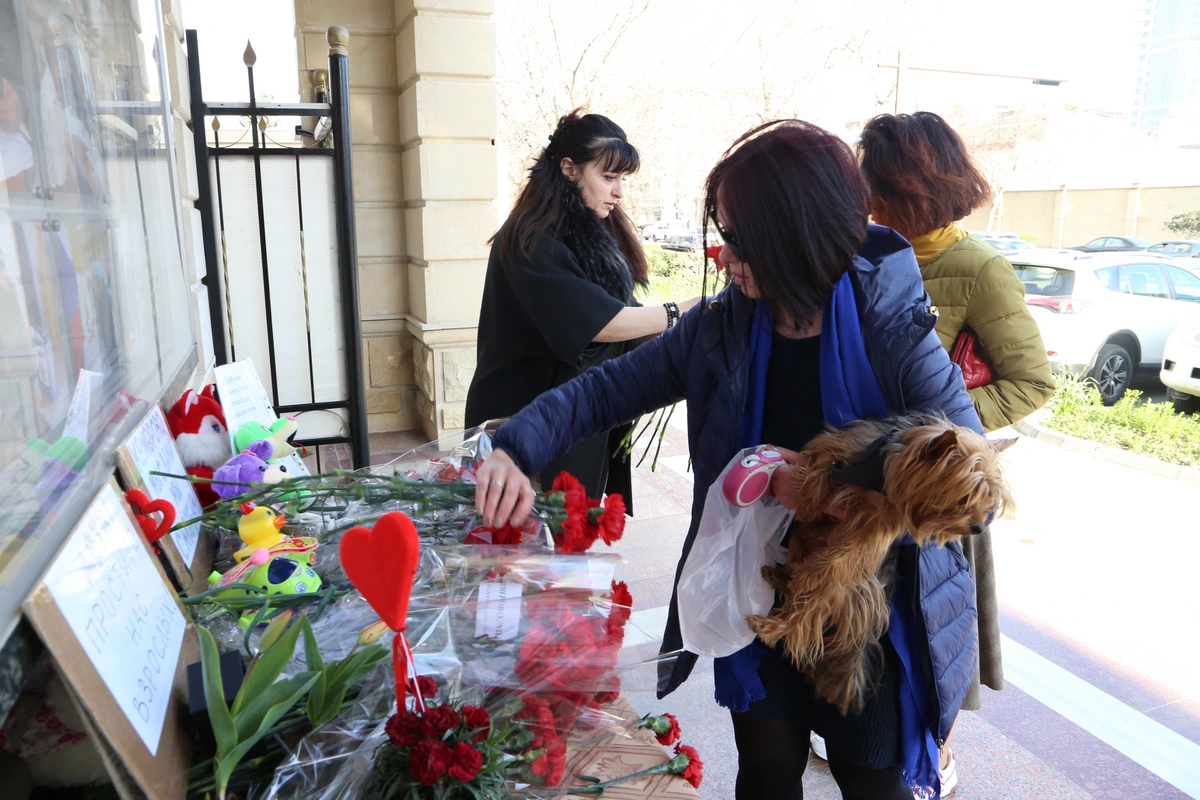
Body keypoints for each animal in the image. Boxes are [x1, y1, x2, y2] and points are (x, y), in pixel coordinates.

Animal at [748, 412, 1012, 714]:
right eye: (966, 496)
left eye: (988, 500)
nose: (979, 528)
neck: (881, 474)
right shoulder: (837, 450)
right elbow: (817, 470)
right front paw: (809, 502)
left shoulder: (876, 526)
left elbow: (847, 553)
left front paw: (815, 571)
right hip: (802, 538)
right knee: (797, 578)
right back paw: (784, 579)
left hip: (833, 588)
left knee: (805, 616)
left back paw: (776, 622)